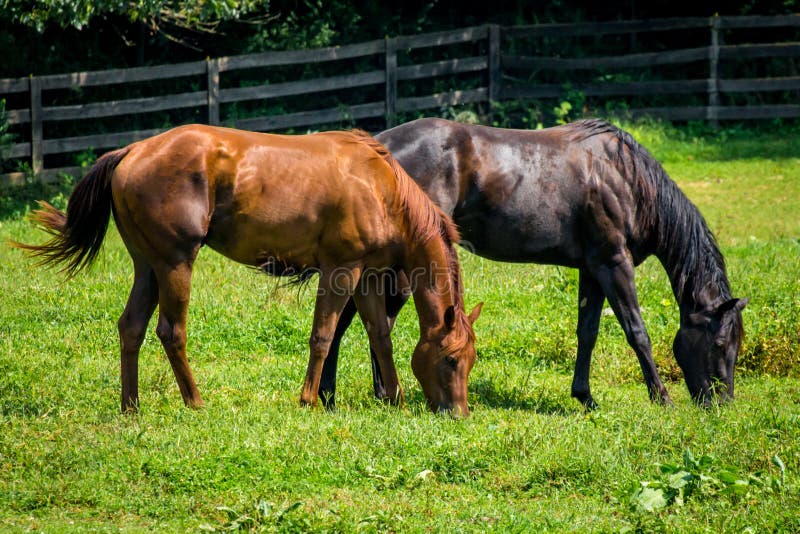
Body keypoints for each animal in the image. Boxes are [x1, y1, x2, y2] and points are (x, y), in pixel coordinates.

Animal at [15, 124, 482, 414]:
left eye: (470, 361)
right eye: (452, 360)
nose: (457, 414)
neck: (380, 186)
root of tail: (131, 151)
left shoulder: (366, 275)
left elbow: (380, 336)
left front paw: (394, 399)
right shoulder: (340, 269)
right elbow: (323, 336)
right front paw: (309, 400)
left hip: (146, 267)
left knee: (131, 327)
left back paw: (131, 406)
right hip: (175, 263)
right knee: (171, 331)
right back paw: (195, 401)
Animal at [322, 118, 748, 410]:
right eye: (721, 343)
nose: (721, 403)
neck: (626, 179)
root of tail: (377, 148)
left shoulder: (592, 269)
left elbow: (587, 332)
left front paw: (585, 397)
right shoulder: (614, 263)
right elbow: (636, 331)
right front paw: (661, 397)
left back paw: (348, 394)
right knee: (366, 320)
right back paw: (358, 394)